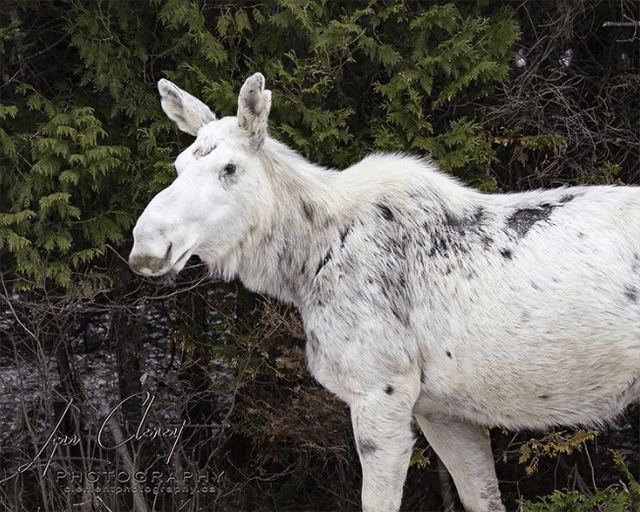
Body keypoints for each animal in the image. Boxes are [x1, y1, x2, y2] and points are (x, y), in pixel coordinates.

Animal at [129, 72, 640, 512]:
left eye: (230, 167)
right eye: (177, 165)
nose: (147, 244)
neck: (303, 267)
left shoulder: (381, 386)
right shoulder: (444, 409)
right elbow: (482, 497)